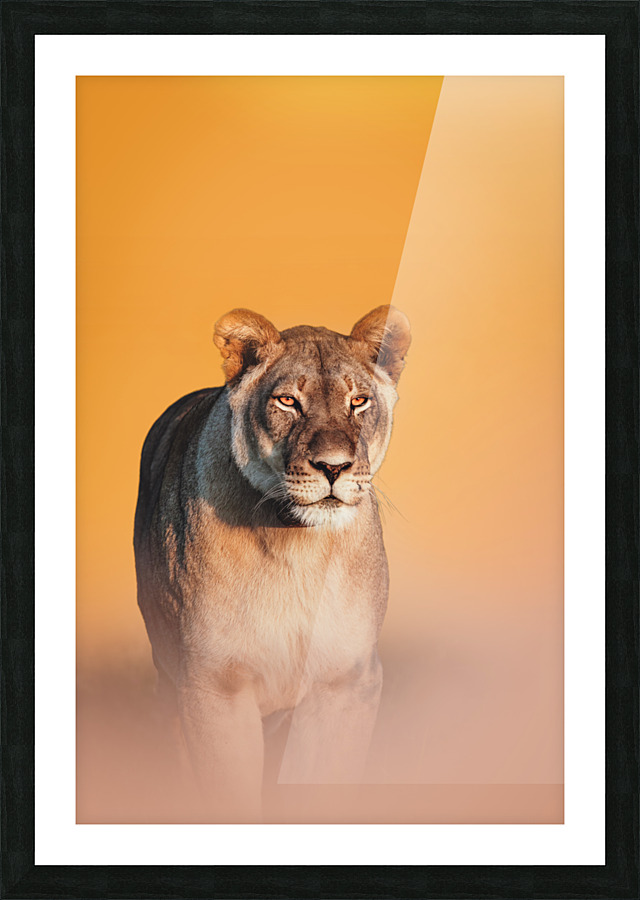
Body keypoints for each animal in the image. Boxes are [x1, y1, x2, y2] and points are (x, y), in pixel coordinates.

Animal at [133, 305, 410, 820]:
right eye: (287, 401)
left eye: (359, 401)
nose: (334, 467)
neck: (299, 549)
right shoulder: (213, 685)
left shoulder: (347, 681)